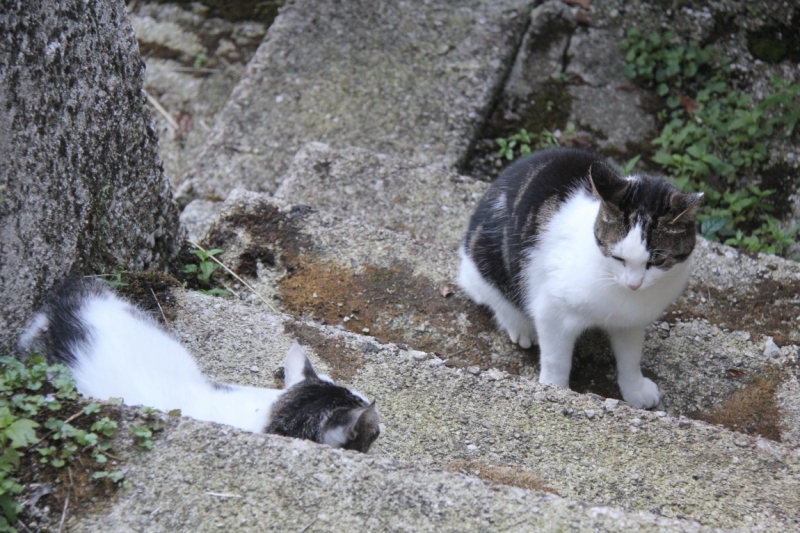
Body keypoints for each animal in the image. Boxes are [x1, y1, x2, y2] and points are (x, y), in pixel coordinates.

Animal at [460, 148, 704, 410]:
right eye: (618, 257)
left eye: (656, 262)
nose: (634, 284)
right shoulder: (551, 310)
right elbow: (556, 360)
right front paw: (555, 390)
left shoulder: (631, 321)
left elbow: (630, 357)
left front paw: (635, 389)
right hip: (486, 260)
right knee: (487, 292)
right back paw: (519, 325)